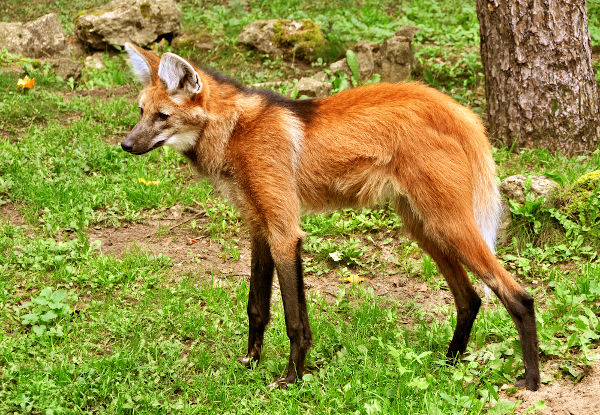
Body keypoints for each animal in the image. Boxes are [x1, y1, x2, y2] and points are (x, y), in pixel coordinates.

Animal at [120, 44, 540, 392]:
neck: (235, 130)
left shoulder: (284, 231)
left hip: (448, 224)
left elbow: (294, 319)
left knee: (518, 296)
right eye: (140, 112)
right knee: (470, 297)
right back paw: (448, 362)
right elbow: (257, 306)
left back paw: (531, 381)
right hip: (423, 227)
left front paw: (291, 378)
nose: (125, 145)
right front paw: (251, 361)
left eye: (163, 116)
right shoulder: (259, 226)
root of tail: (458, 110)